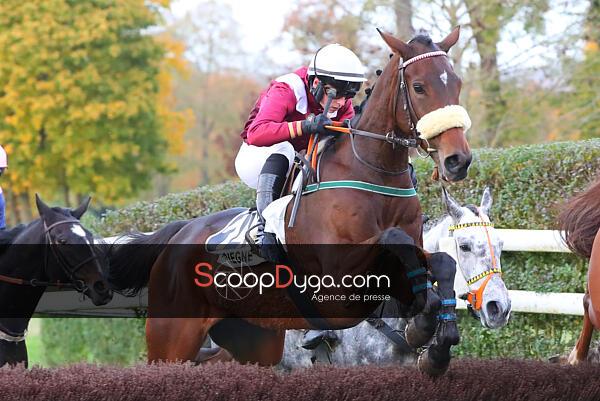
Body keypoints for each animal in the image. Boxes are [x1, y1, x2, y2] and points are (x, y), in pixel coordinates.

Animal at [108, 27, 472, 376]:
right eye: (419, 87)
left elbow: (441, 262)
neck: (373, 173)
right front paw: (422, 324)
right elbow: (393, 238)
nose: (458, 160)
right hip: (172, 338)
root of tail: (180, 232)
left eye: (457, 83)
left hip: (255, 342)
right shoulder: (338, 281)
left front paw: (436, 341)